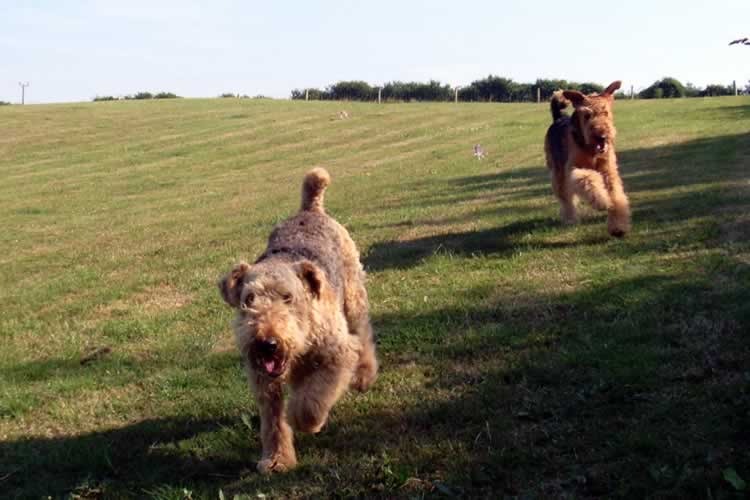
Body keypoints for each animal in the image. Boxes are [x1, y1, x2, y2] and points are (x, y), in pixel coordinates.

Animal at [220, 169, 378, 472]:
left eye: (287, 297)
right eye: (248, 299)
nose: (267, 342)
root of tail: (310, 209)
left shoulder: (337, 354)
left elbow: (310, 401)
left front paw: (307, 421)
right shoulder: (263, 378)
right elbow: (273, 423)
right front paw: (276, 460)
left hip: (354, 298)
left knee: (363, 336)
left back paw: (363, 376)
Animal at [544, 81, 632, 237]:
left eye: (605, 112)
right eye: (586, 115)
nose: (601, 136)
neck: (591, 150)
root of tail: (558, 118)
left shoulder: (608, 171)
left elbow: (616, 195)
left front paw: (618, 227)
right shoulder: (574, 168)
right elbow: (587, 179)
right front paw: (603, 202)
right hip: (558, 172)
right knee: (566, 198)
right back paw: (570, 219)